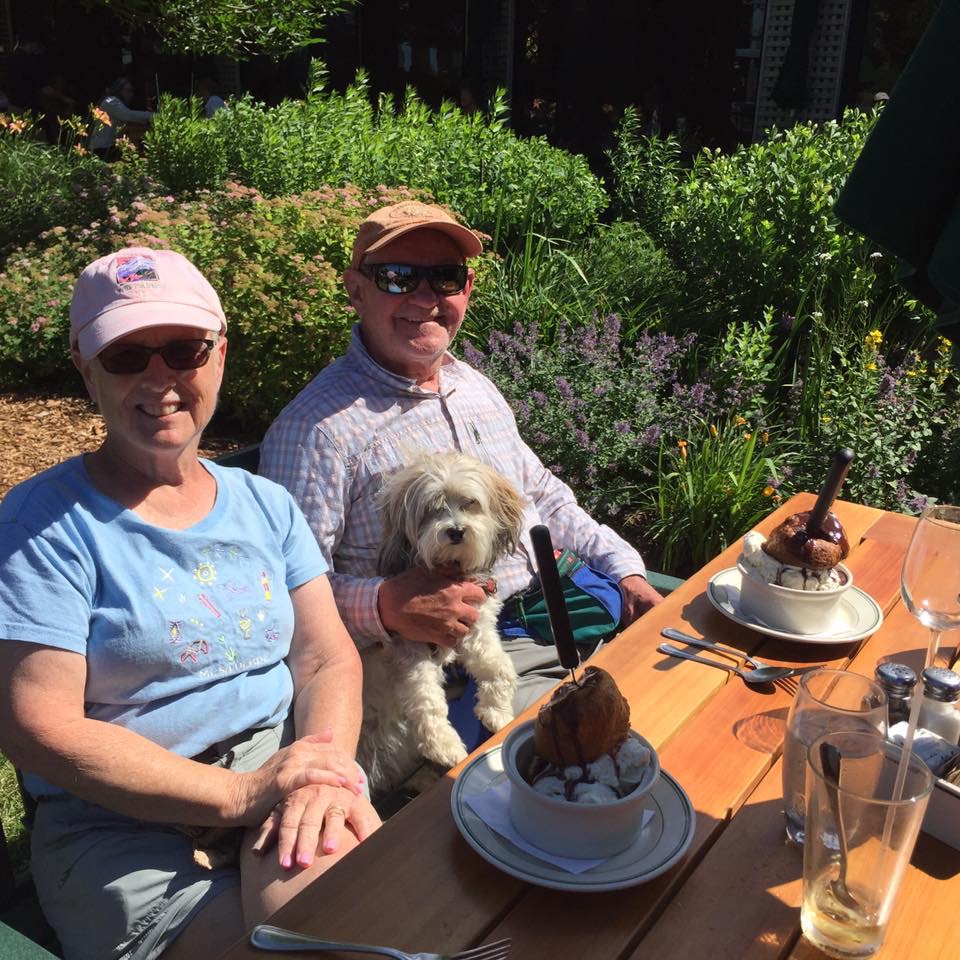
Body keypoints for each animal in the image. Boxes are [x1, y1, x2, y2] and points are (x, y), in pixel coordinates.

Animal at [360, 452, 524, 796]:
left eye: (470, 503)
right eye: (431, 509)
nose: (456, 531)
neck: (448, 570)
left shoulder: (476, 628)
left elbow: (500, 668)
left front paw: (497, 713)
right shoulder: (411, 652)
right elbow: (427, 700)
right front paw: (444, 745)